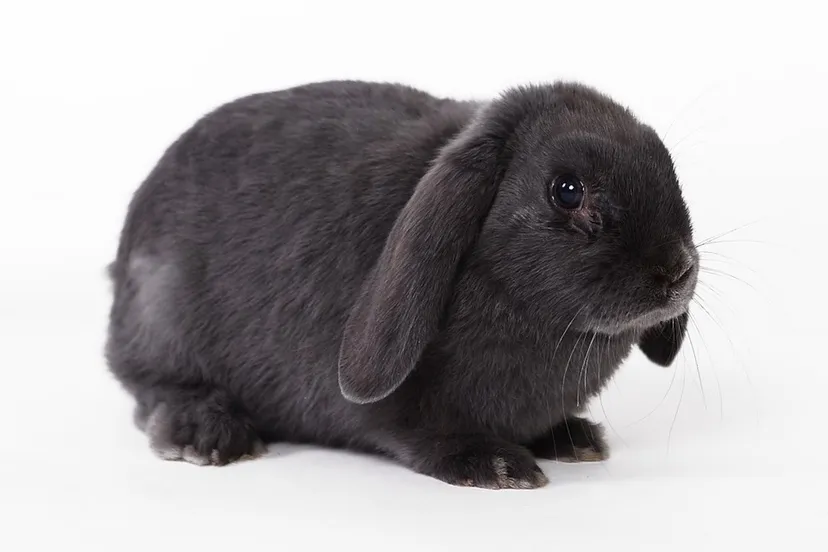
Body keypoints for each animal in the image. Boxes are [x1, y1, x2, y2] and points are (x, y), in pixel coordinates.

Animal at [106, 80, 697, 489]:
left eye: (668, 167)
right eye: (567, 190)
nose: (676, 270)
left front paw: (572, 438)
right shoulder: (403, 409)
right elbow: (417, 430)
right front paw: (497, 466)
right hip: (162, 323)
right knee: (151, 389)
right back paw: (208, 435)